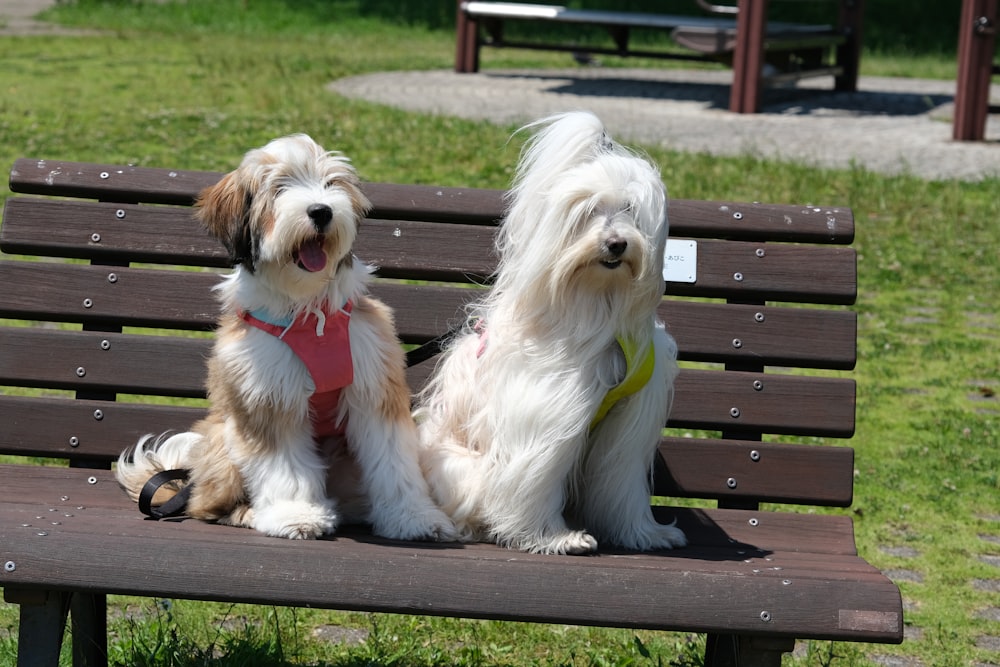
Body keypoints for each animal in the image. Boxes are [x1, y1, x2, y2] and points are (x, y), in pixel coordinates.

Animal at [115, 134, 456, 544]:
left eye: (331, 184)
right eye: (279, 188)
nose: (321, 211)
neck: (309, 310)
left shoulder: (373, 385)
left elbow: (392, 460)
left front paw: (415, 517)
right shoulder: (268, 395)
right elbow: (284, 462)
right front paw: (297, 515)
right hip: (223, 442)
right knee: (204, 506)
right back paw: (248, 513)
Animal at [414, 112, 688, 556]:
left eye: (630, 209)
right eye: (587, 211)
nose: (616, 244)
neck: (598, 305)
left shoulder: (628, 423)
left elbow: (623, 482)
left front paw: (644, 534)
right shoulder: (546, 415)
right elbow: (535, 479)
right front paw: (553, 538)